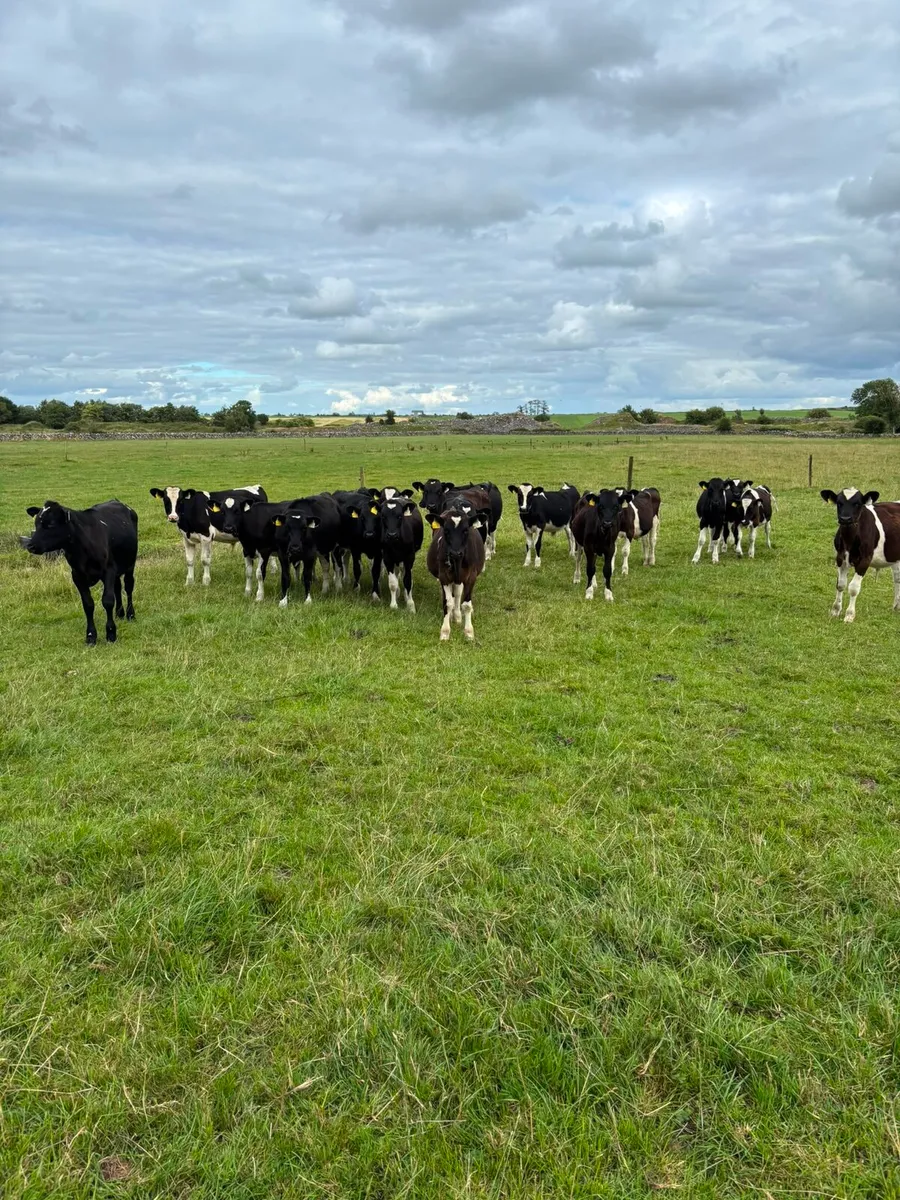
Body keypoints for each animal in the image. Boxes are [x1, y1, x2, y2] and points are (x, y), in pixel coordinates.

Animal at [21, 499, 137, 645]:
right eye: (36, 523)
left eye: (51, 524)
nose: (30, 546)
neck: (83, 547)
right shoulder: (77, 576)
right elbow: (88, 604)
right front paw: (91, 636)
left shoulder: (109, 570)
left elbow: (108, 601)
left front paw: (111, 633)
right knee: (117, 587)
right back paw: (119, 613)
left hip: (130, 565)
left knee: (128, 587)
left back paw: (130, 614)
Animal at [426, 507, 488, 641]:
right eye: (446, 530)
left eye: (465, 530)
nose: (455, 553)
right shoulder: (444, 577)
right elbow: (447, 603)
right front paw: (445, 632)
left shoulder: (471, 577)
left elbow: (467, 605)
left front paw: (469, 632)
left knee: (458, 594)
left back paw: (458, 616)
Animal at [820, 488, 900, 622]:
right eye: (839, 503)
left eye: (857, 504)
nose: (845, 518)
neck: (849, 540)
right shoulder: (840, 558)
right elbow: (840, 584)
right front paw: (835, 610)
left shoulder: (865, 560)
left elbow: (853, 588)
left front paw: (849, 615)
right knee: (897, 578)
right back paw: (896, 606)